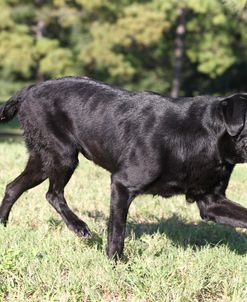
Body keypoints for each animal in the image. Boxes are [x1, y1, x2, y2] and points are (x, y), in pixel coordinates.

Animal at [0, 76, 247, 258]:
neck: (205, 135)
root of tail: (28, 90)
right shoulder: (122, 184)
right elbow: (117, 230)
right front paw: (115, 262)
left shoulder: (212, 202)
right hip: (63, 156)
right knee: (52, 193)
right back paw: (79, 226)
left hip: (44, 162)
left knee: (13, 187)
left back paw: (3, 225)